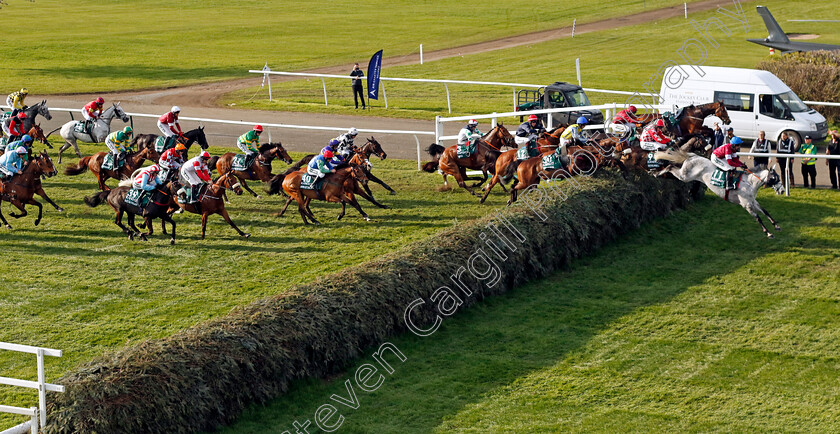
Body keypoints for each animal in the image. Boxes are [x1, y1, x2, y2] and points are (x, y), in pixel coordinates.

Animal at [656, 148, 788, 237]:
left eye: (778, 178)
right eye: (774, 178)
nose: (782, 190)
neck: (750, 183)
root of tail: (693, 156)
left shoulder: (753, 201)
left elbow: (765, 212)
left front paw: (776, 226)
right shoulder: (746, 205)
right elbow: (758, 218)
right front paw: (768, 233)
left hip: (685, 176)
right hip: (685, 176)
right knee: (671, 167)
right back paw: (657, 173)